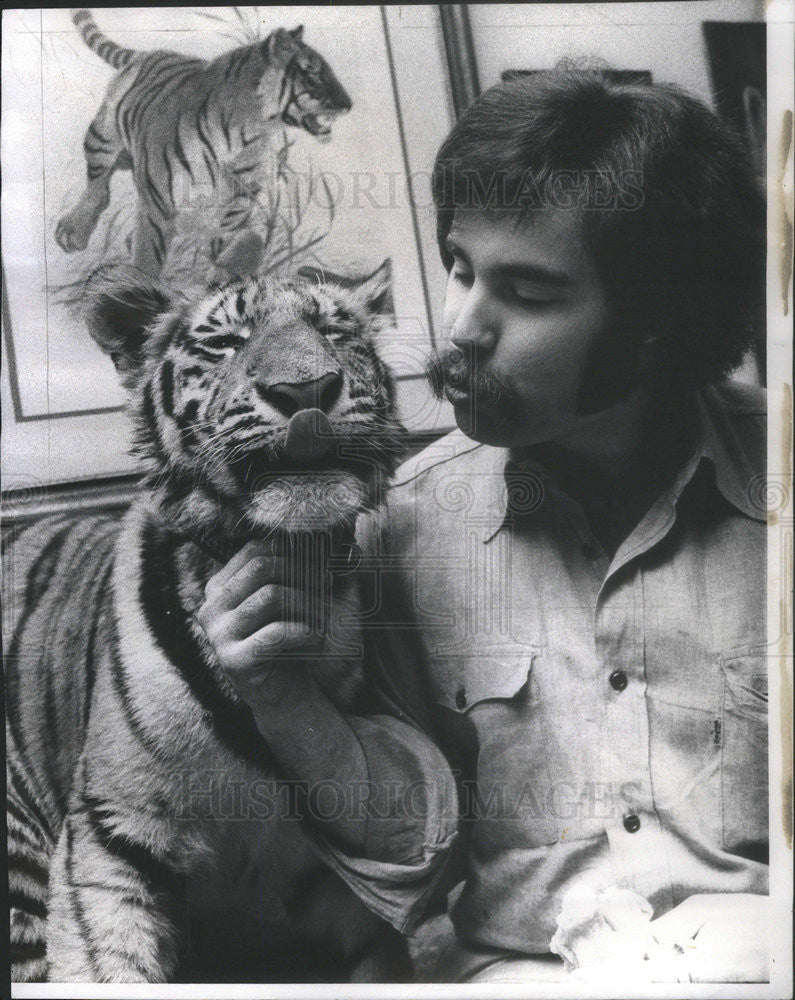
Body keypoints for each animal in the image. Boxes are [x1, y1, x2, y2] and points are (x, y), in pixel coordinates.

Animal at [53, 9, 352, 280]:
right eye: (313, 73)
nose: (349, 104)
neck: (250, 129)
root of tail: (149, 53)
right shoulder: (156, 201)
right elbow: (148, 255)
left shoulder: (238, 203)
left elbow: (247, 239)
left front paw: (224, 275)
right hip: (103, 136)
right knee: (97, 185)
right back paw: (73, 231)